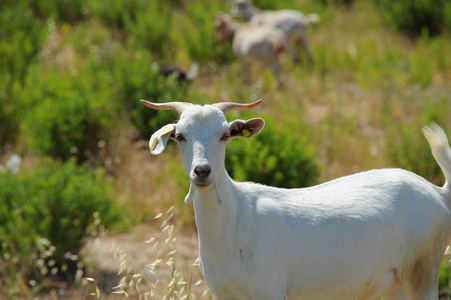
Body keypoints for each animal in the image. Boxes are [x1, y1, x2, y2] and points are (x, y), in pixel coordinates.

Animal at [143, 99, 451, 300]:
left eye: (225, 135)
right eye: (179, 136)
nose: (202, 171)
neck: (237, 220)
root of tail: (439, 192)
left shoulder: (270, 291)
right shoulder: (225, 294)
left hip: (422, 270)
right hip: (394, 285)